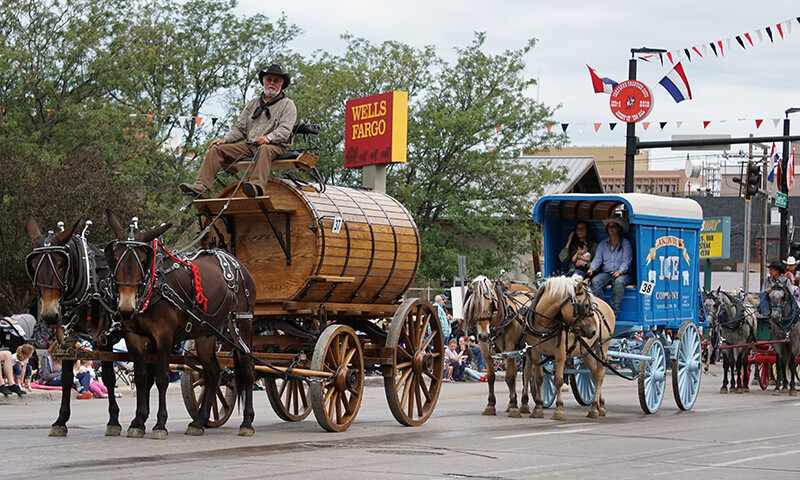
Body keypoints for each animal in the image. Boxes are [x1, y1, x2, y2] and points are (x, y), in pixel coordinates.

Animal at [25, 216, 122, 436]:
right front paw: (61, 421)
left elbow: (109, 378)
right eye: (33, 265)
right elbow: (67, 378)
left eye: (61, 264)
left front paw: (113, 420)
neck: (90, 281)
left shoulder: (105, 339)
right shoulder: (68, 338)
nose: (49, 314)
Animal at [105, 210, 256, 438]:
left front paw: (160, 424)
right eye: (115, 258)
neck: (154, 284)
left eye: (143, 259)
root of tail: (236, 262)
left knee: (247, 370)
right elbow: (141, 378)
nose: (126, 306)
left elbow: (162, 378)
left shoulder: (164, 336)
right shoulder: (134, 336)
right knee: (213, 372)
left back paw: (247, 422)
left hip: (241, 323)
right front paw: (138, 422)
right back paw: (199, 421)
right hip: (206, 333)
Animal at [460, 278, 536, 416]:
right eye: (474, 305)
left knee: (527, 374)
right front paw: (491, 405)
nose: (484, 335)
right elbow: (491, 377)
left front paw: (514, 407)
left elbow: (510, 377)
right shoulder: (485, 349)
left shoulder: (509, 348)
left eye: (491, 303)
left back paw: (524, 403)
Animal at [528, 278, 616, 420]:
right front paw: (538, 408)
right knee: (595, 374)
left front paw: (559, 410)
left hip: (602, 346)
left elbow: (558, 380)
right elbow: (540, 379)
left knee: (600, 374)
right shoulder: (536, 353)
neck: (544, 326)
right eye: (585, 305)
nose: (593, 331)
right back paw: (600, 406)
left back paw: (594, 408)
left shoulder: (560, 354)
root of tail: (606, 305)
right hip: (587, 351)